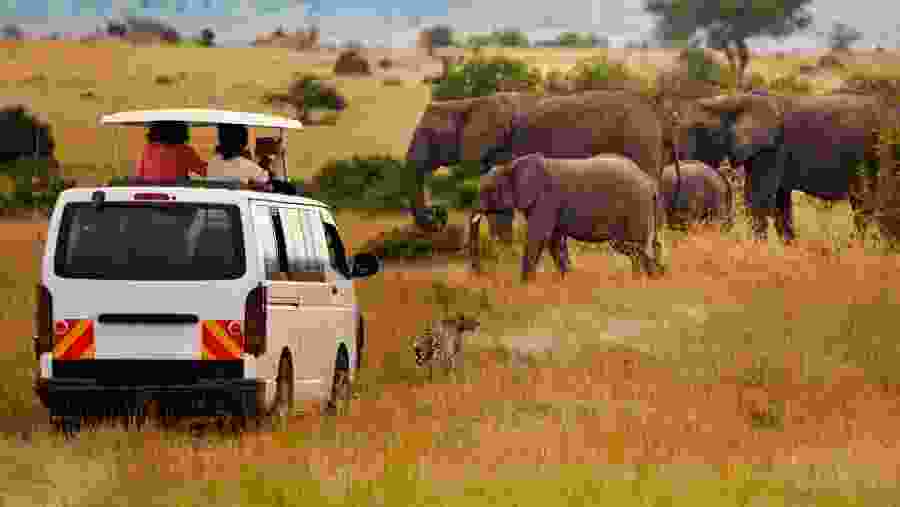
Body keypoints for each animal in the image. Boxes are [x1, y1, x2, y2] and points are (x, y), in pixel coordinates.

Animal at [407, 90, 672, 238]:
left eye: (428, 135)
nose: (438, 215)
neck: (466, 104)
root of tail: (657, 115)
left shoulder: (505, 150)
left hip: (639, 143)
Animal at [471, 153, 665, 282]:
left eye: (488, 190)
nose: (478, 273)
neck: (511, 165)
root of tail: (649, 181)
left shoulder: (546, 199)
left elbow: (538, 235)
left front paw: (525, 285)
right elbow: (554, 239)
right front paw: (567, 278)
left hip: (637, 205)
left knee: (636, 244)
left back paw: (642, 279)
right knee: (647, 244)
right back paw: (651, 277)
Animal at [677, 92, 899, 241]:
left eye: (699, 131)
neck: (728, 101)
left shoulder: (772, 149)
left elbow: (758, 199)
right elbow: (780, 203)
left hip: (878, 151)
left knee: (872, 201)